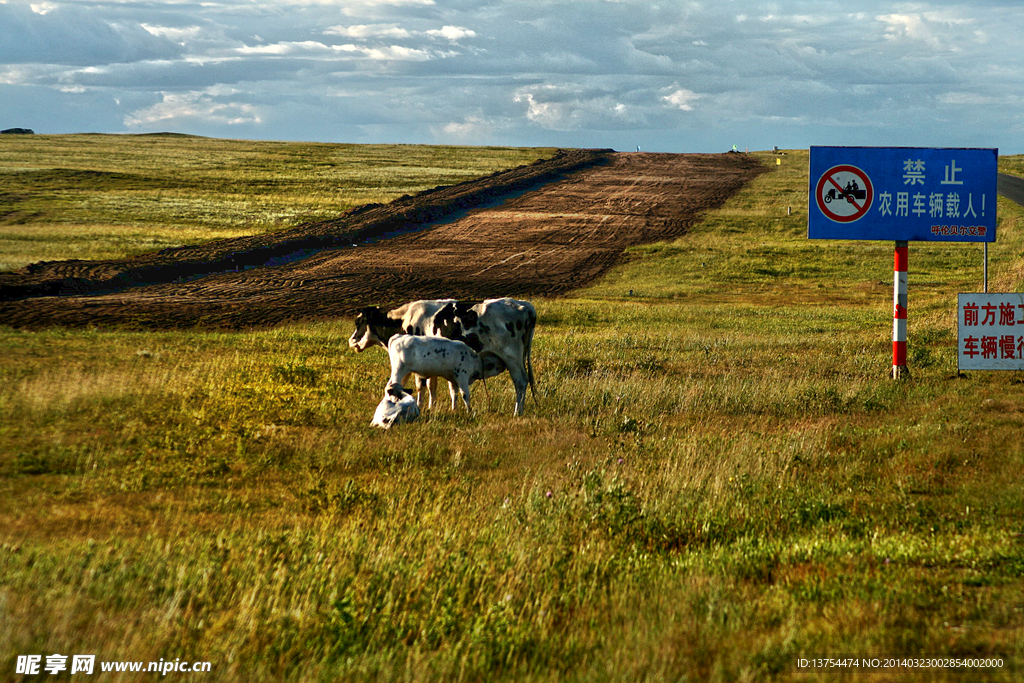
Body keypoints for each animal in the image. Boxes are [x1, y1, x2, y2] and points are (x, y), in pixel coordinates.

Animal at [350, 296, 540, 413]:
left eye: (359, 321)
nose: (351, 341)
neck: (405, 320)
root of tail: (525, 306)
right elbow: (436, 385)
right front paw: (434, 407)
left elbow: (421, 385)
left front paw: (421, 405)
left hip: (512, 357)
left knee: (521, 382)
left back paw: (517, 411)